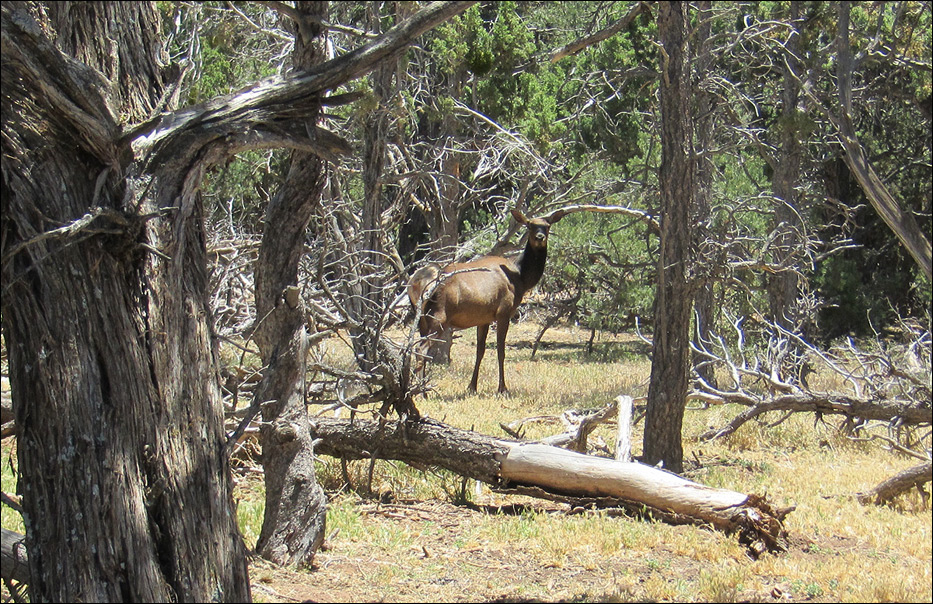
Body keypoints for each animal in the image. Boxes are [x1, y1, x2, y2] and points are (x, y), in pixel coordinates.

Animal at [406, 209, 560, 396]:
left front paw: (472, 387)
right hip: (439, 316)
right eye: (529, 225)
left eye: (547, 225)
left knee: (417, 347)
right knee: (421, 349)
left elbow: (480, 350)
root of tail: (417, 282)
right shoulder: (504, 312)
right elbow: (501, 350)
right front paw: (502, 389)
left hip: (421, 318)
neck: (521, 278)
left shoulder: (484, 318)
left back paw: (420, 389)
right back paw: (421, 392)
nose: (539, 237)